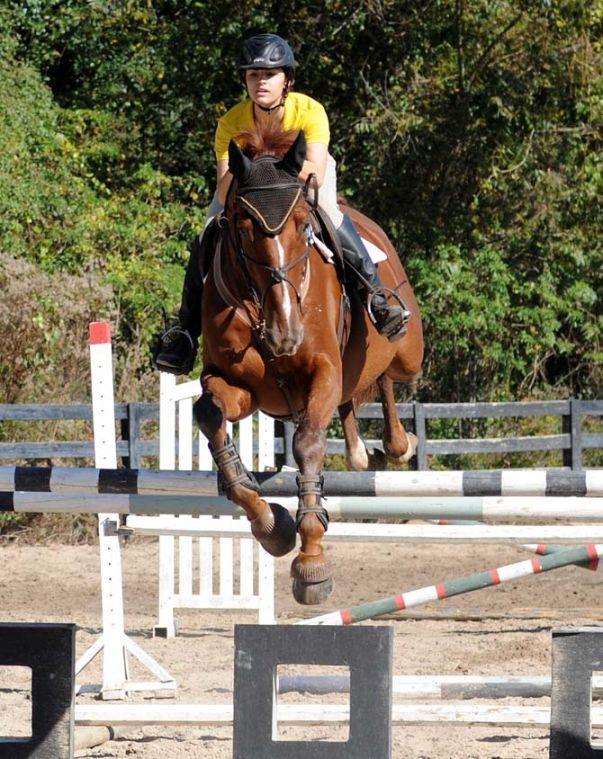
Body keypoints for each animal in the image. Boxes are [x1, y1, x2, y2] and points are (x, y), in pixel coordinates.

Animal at [196, 121, 422, 604]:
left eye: (304, 228)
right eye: (243, 229)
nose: (286, 334)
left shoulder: (323, 372)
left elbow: (308, 445)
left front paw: (311, 562)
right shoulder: (240, 385)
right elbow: (208, 412)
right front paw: (270, 524)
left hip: (407, 351)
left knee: (387, 378)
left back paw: (398, 443)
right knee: (354, 398)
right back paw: (362, 454)